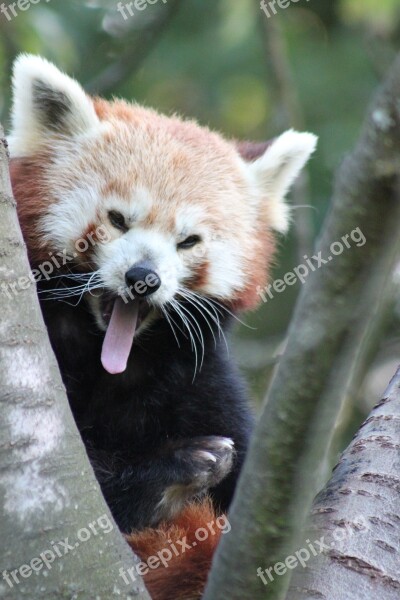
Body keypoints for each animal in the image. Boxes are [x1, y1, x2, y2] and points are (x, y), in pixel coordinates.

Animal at [6, 54, 318, 596]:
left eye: (188, 241)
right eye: (117, 220)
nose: (143, 278)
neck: (113, 364)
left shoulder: (201, 379)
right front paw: (172, 471)